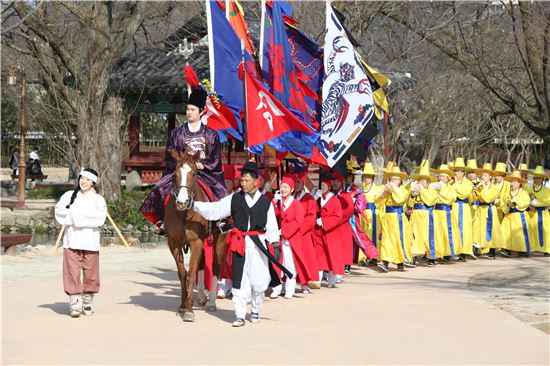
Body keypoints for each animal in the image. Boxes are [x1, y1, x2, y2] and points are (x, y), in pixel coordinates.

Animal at [167, 150, 230, 322]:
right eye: (175, 173)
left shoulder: (196, 241)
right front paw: (183, 306)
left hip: (219, 238)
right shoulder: (173, 242)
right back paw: (201, 296)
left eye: (194, 173)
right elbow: (183, 274)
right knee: (201, 265)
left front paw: (188, 310)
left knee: (215, 266)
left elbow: (190, 275)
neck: (184, 214)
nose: (181, 202)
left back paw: (212, 302)